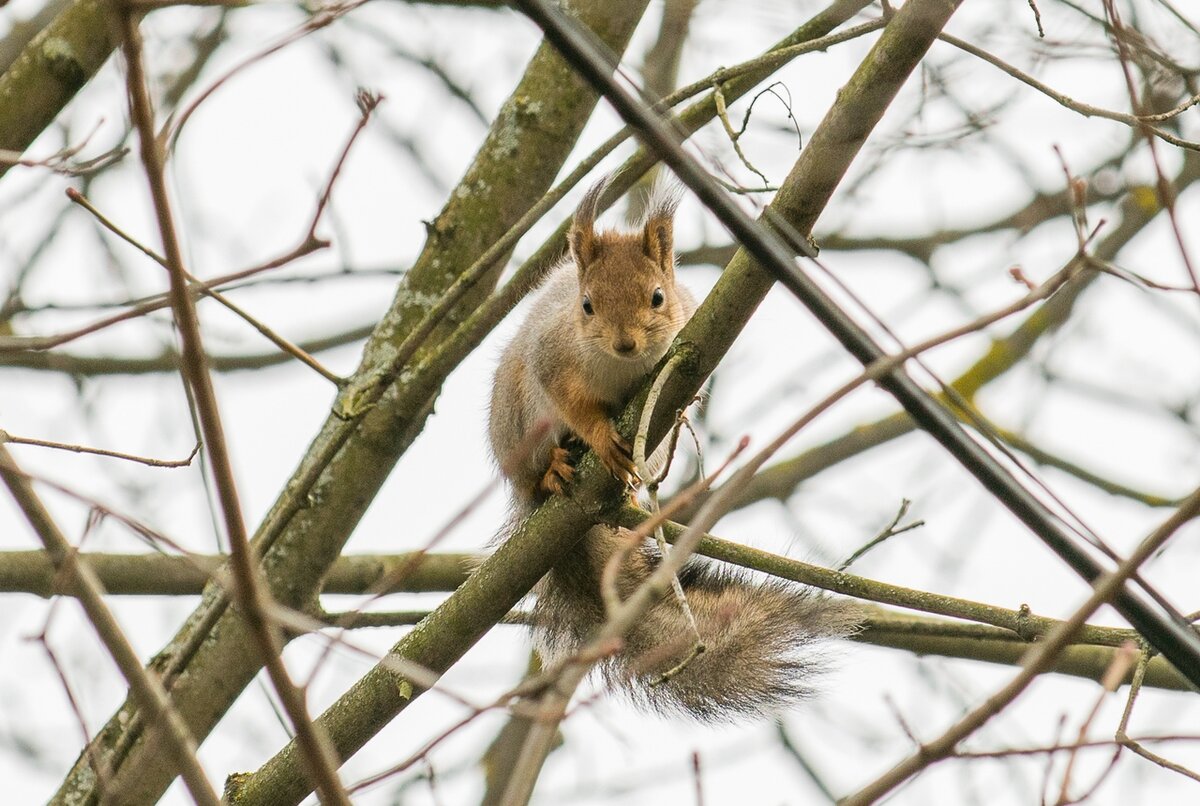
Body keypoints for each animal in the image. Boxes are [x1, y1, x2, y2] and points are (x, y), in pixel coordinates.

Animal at [482, 175, 859, 719]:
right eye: (587, 305)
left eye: (658, 296)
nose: (625, 344)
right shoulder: (552, 357)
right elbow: (574, 405)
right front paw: (599, 437)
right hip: (514, 418)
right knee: (533, 471)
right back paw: (552, 469)